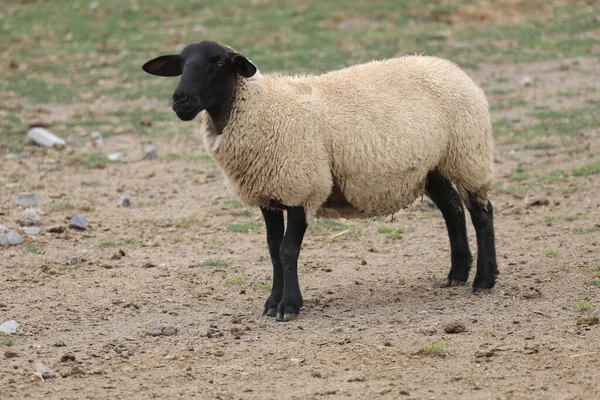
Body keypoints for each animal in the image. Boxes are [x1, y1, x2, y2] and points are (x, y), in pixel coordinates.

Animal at [143, 40, 500, 322]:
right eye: (181, 64)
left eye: (218, 62)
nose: (181, 100)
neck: (262, 108)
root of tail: (448, 66)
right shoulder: (268, 195)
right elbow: (273, 250)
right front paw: (272, 303)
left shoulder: (303, 187)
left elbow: (288, 251)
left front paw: (289, 306)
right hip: (433, 165)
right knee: (452, 211)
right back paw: (456, 274)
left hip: (468, 154)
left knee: (481, 212)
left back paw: (483, 280)